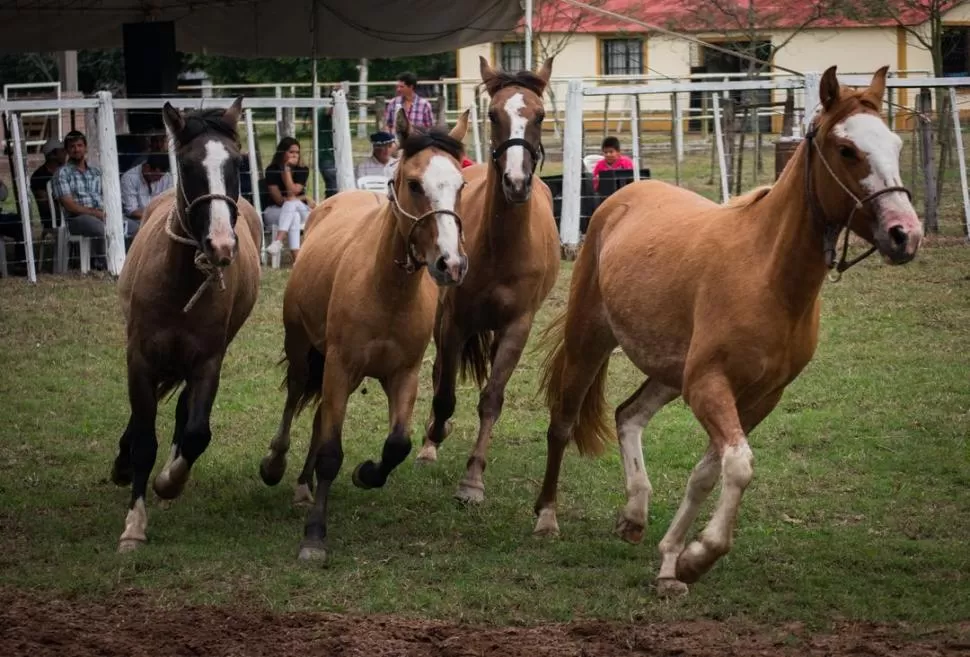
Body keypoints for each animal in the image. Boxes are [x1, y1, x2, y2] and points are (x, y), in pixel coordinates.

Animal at [112, 97, 260, 552]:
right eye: (189, 166)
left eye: (236, 164)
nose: (221, 245)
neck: (179, 284)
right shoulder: (140, 359)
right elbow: (144, 438)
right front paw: (133, 525)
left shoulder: (207, 363)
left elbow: (196, 433)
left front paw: (168, 482)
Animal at [258, 110, 468, 560]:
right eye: (415, 184)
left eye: (460, 185)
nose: (451, 264)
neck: (386, 289)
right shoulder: (339, 367)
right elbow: (330, 452)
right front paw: (314, 535)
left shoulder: (402, 375)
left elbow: (397, 444)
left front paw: (366, 473)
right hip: (304, 352)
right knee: (294, 399)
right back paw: (276, 466)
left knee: (319, 418)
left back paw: (303, 485)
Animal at [414, 57, 560, 508]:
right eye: (493, 115)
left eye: (540, 115)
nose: (516, 183)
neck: (502, 247)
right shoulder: (455, 321)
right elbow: (444, 392)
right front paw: (434, 435)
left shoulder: (516, 327)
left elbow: (492, 398)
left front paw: (474, 478)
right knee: (439, 373)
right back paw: (430, 441)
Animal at [532, 66, 920, 596]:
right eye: (847, 149)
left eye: (895, 145)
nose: (906, 234)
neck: (766, 275)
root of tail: (623, 197)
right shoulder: (709, 385)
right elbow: (737, 466)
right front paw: (699, 557)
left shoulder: (759, 397)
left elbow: (707, 472)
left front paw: (673, 561)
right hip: (589, 342)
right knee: (563, 423)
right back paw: (546, 517)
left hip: (670, 372)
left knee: (629, 415)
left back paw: (635, 512)